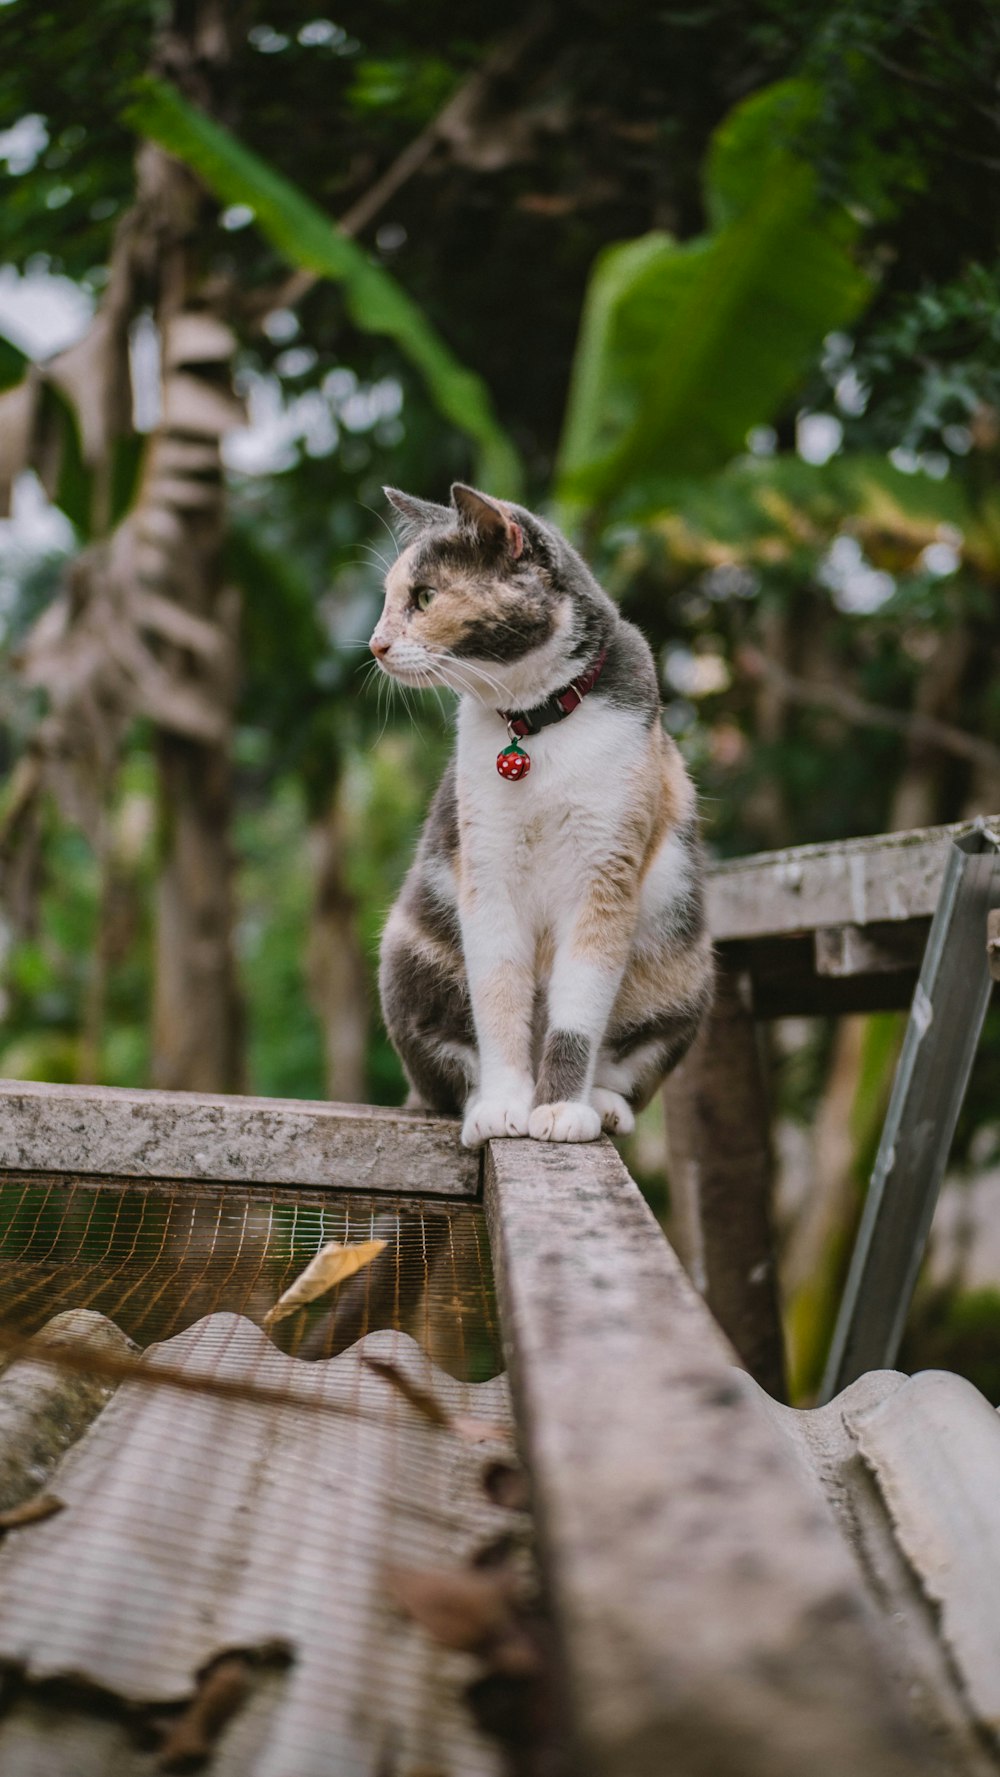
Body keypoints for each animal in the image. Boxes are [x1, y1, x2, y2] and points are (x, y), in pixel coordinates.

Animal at [373, 486, 710, 1151]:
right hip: (407, 952)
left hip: (684, 966)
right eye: (389, 599)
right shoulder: (487, 870)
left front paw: (559, 1109)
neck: (534, 724)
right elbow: (498, 994)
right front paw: (506, 1105)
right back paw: (482, 1100)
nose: (374, 644)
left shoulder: (607, 871)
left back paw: (601, 1103)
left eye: (423, 597)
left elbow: (578, 1011)